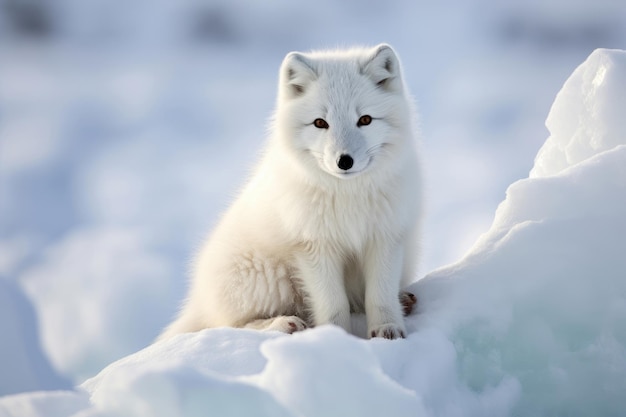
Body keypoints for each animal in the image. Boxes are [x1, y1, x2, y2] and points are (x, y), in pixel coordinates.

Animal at [162, 44, 420, 340]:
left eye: (365, 120)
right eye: (320, 123)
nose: (344, 161)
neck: (347, 195)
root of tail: (199, 298)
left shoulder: (385, 237)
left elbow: (380, 296)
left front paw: (388, 330)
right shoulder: (314, 248)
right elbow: (333, 304)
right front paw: (334, 337)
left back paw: (403, 301)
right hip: (268, 278)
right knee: (229, 324)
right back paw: (284, 324)